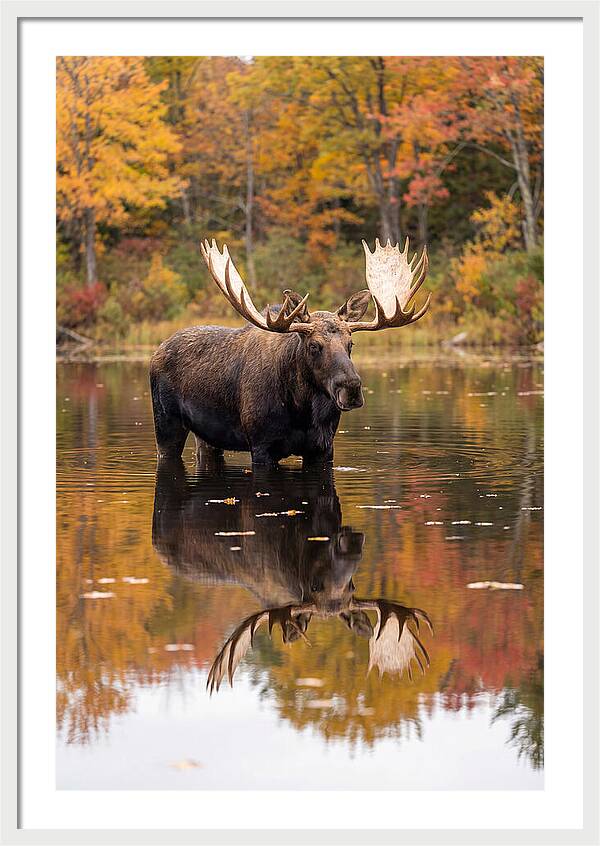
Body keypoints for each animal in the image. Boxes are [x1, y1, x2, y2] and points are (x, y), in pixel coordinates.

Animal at [149, 237, 431, 466]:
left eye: (351, 344)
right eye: (314, 345)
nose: (350, 388)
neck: (301, 410)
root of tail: (157, 350)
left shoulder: (323, 448)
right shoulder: (261, 445)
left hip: (207, 436)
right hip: (166, 424)